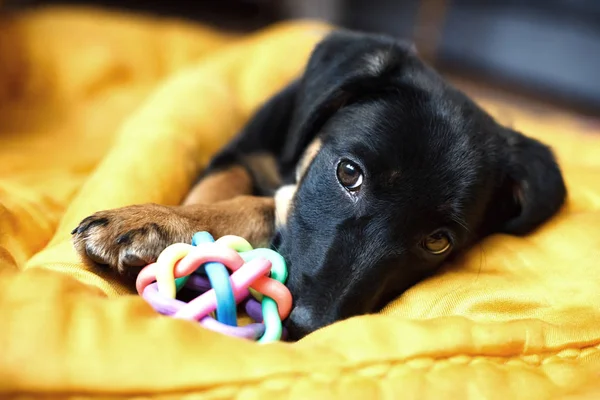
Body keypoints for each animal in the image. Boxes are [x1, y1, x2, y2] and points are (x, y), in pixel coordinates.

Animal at [71, 29, 568, 340]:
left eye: (438, 241)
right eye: (348, 173)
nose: (305, 327)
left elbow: (260, 206)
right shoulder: (242, 151)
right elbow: (224, 193)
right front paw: (160, 226)